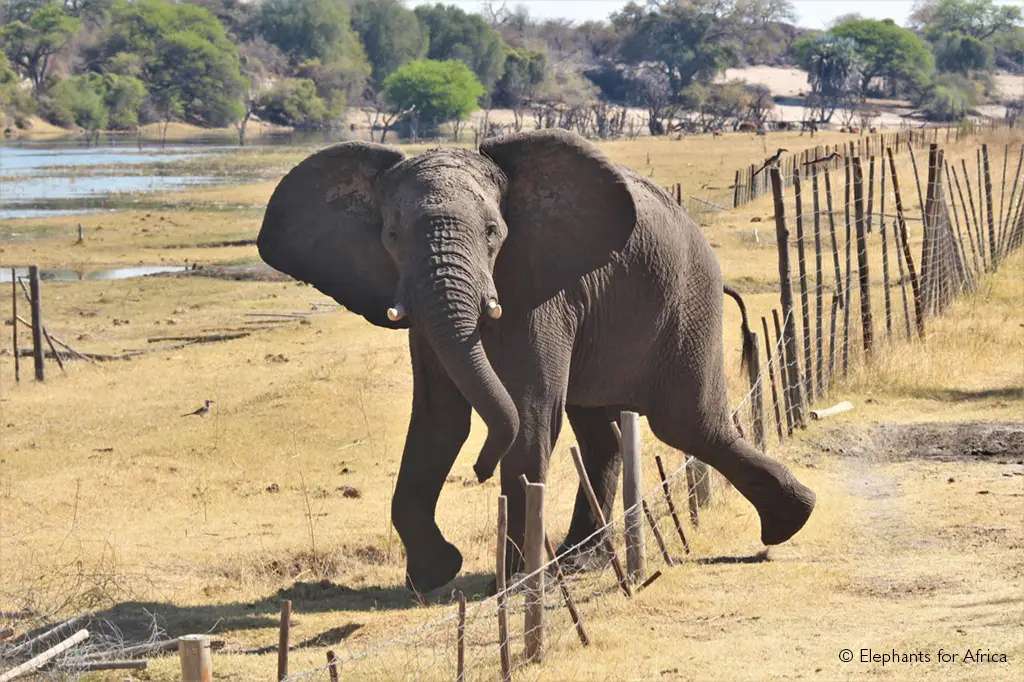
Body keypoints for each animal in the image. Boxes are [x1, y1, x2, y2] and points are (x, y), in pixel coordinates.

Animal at [256, 128, 817, 594]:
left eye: (492, 232)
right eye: (392, 237)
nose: (480, 469)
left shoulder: (544, 290)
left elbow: (530, 416)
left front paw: (509, 589)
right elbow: (439, 421)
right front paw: (434, 576)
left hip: (688, 296)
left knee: (689, 424)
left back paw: (790, 523)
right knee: (606, 433)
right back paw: (581, 560)